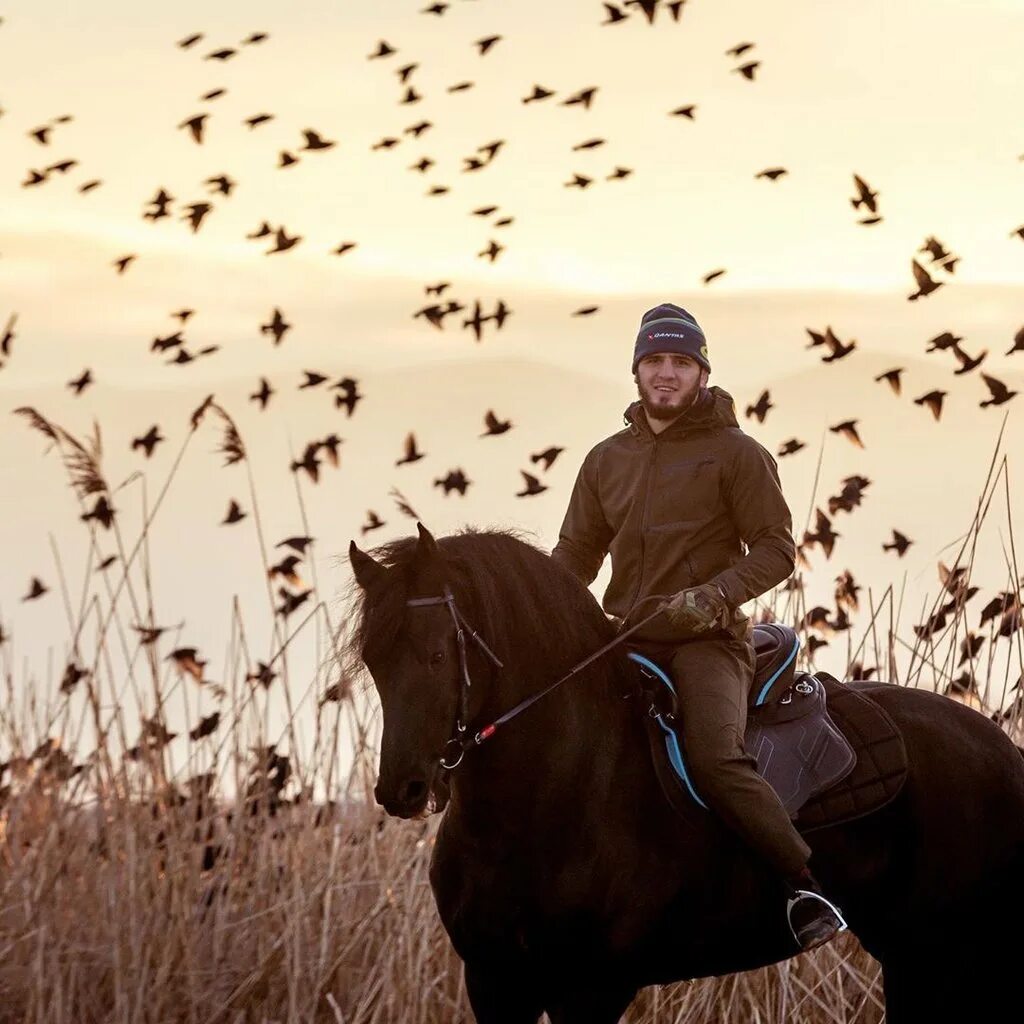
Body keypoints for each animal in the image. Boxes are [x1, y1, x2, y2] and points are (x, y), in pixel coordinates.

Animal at [348, 528, 1024, 1024]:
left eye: (439, 655)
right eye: (373, 662)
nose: (402, 788)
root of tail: (1002, 749)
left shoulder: (591, 989)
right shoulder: (494, 982)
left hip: (945, 951)